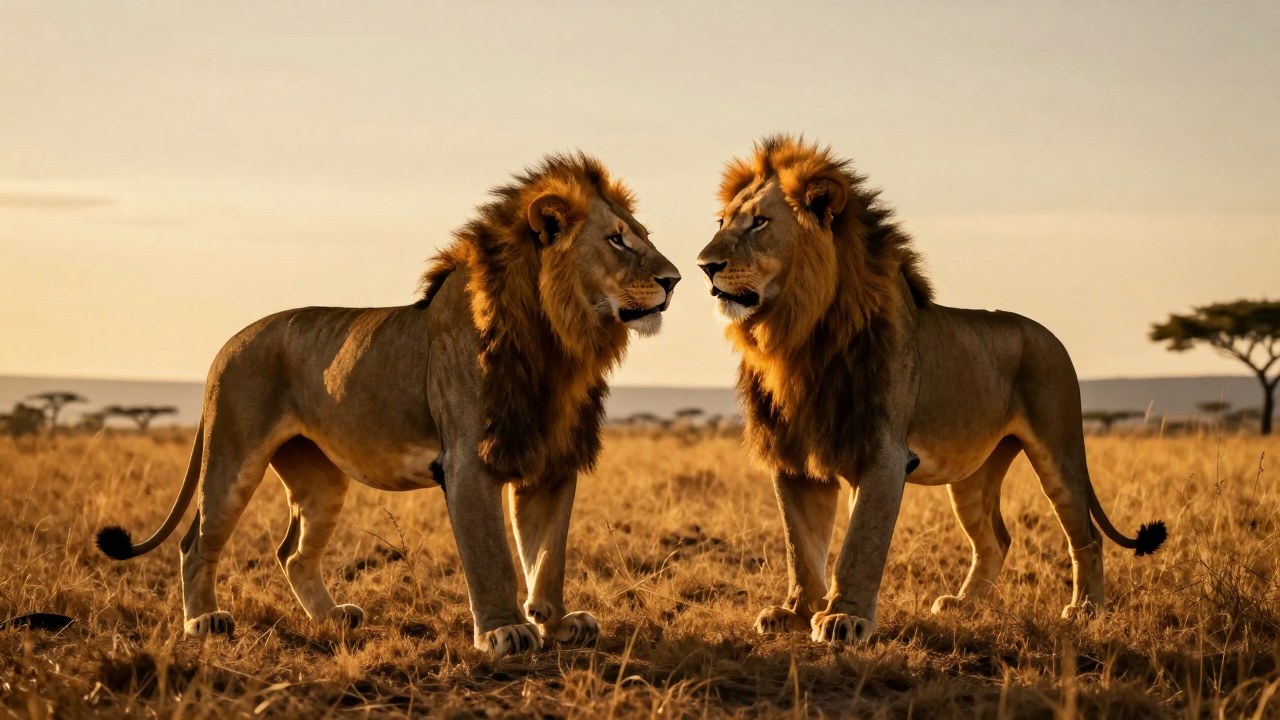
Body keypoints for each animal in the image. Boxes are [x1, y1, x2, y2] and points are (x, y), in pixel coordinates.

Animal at [96, 153, 681, 656]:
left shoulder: (550, 462)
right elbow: (493, 556)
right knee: (196, 542)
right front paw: (504, 630)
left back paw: (332, 617)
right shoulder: (468, 462)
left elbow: (547, 555)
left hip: (320, 479)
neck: (559, 344)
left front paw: (556, 624)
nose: (674, 280)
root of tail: (226, 344)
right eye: (618, 242)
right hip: (232, 455)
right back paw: (204, 621)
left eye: (644, 238)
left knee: (293, 552)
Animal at [696, 136, 1165, 645]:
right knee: (996, 539)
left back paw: (1085, 609)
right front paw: (796, 614)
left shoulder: (883, 452)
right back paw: (964, 605)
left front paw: (844, 619)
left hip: (1057, 447)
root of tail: (1049, 335)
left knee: (1086, 534)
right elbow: (801, 547)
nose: (703, 266)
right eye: (721, 223)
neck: (796, 337)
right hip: (973, 473)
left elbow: (860, 543)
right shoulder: (794, 457)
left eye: (759, 222)